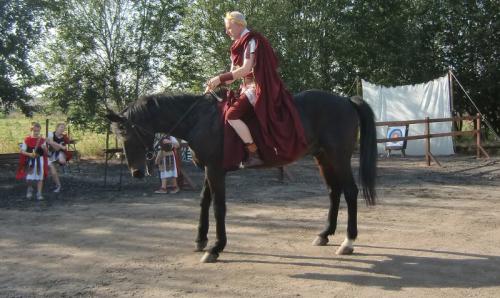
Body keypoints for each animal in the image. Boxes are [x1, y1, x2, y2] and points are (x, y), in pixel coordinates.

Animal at [106, 89, 378, 264]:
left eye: (126, 132)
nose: (136, 172)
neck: (201, 120)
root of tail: (345, 100)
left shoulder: (215, 170)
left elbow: (218, 207)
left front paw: (216, 248)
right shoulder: (209, 170)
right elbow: (204, 202)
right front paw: (200, 239)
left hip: (338, 157)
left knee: (350, 192)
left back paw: (348, 242)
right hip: (322, 157)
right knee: (334, 191)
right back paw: (324, 234)